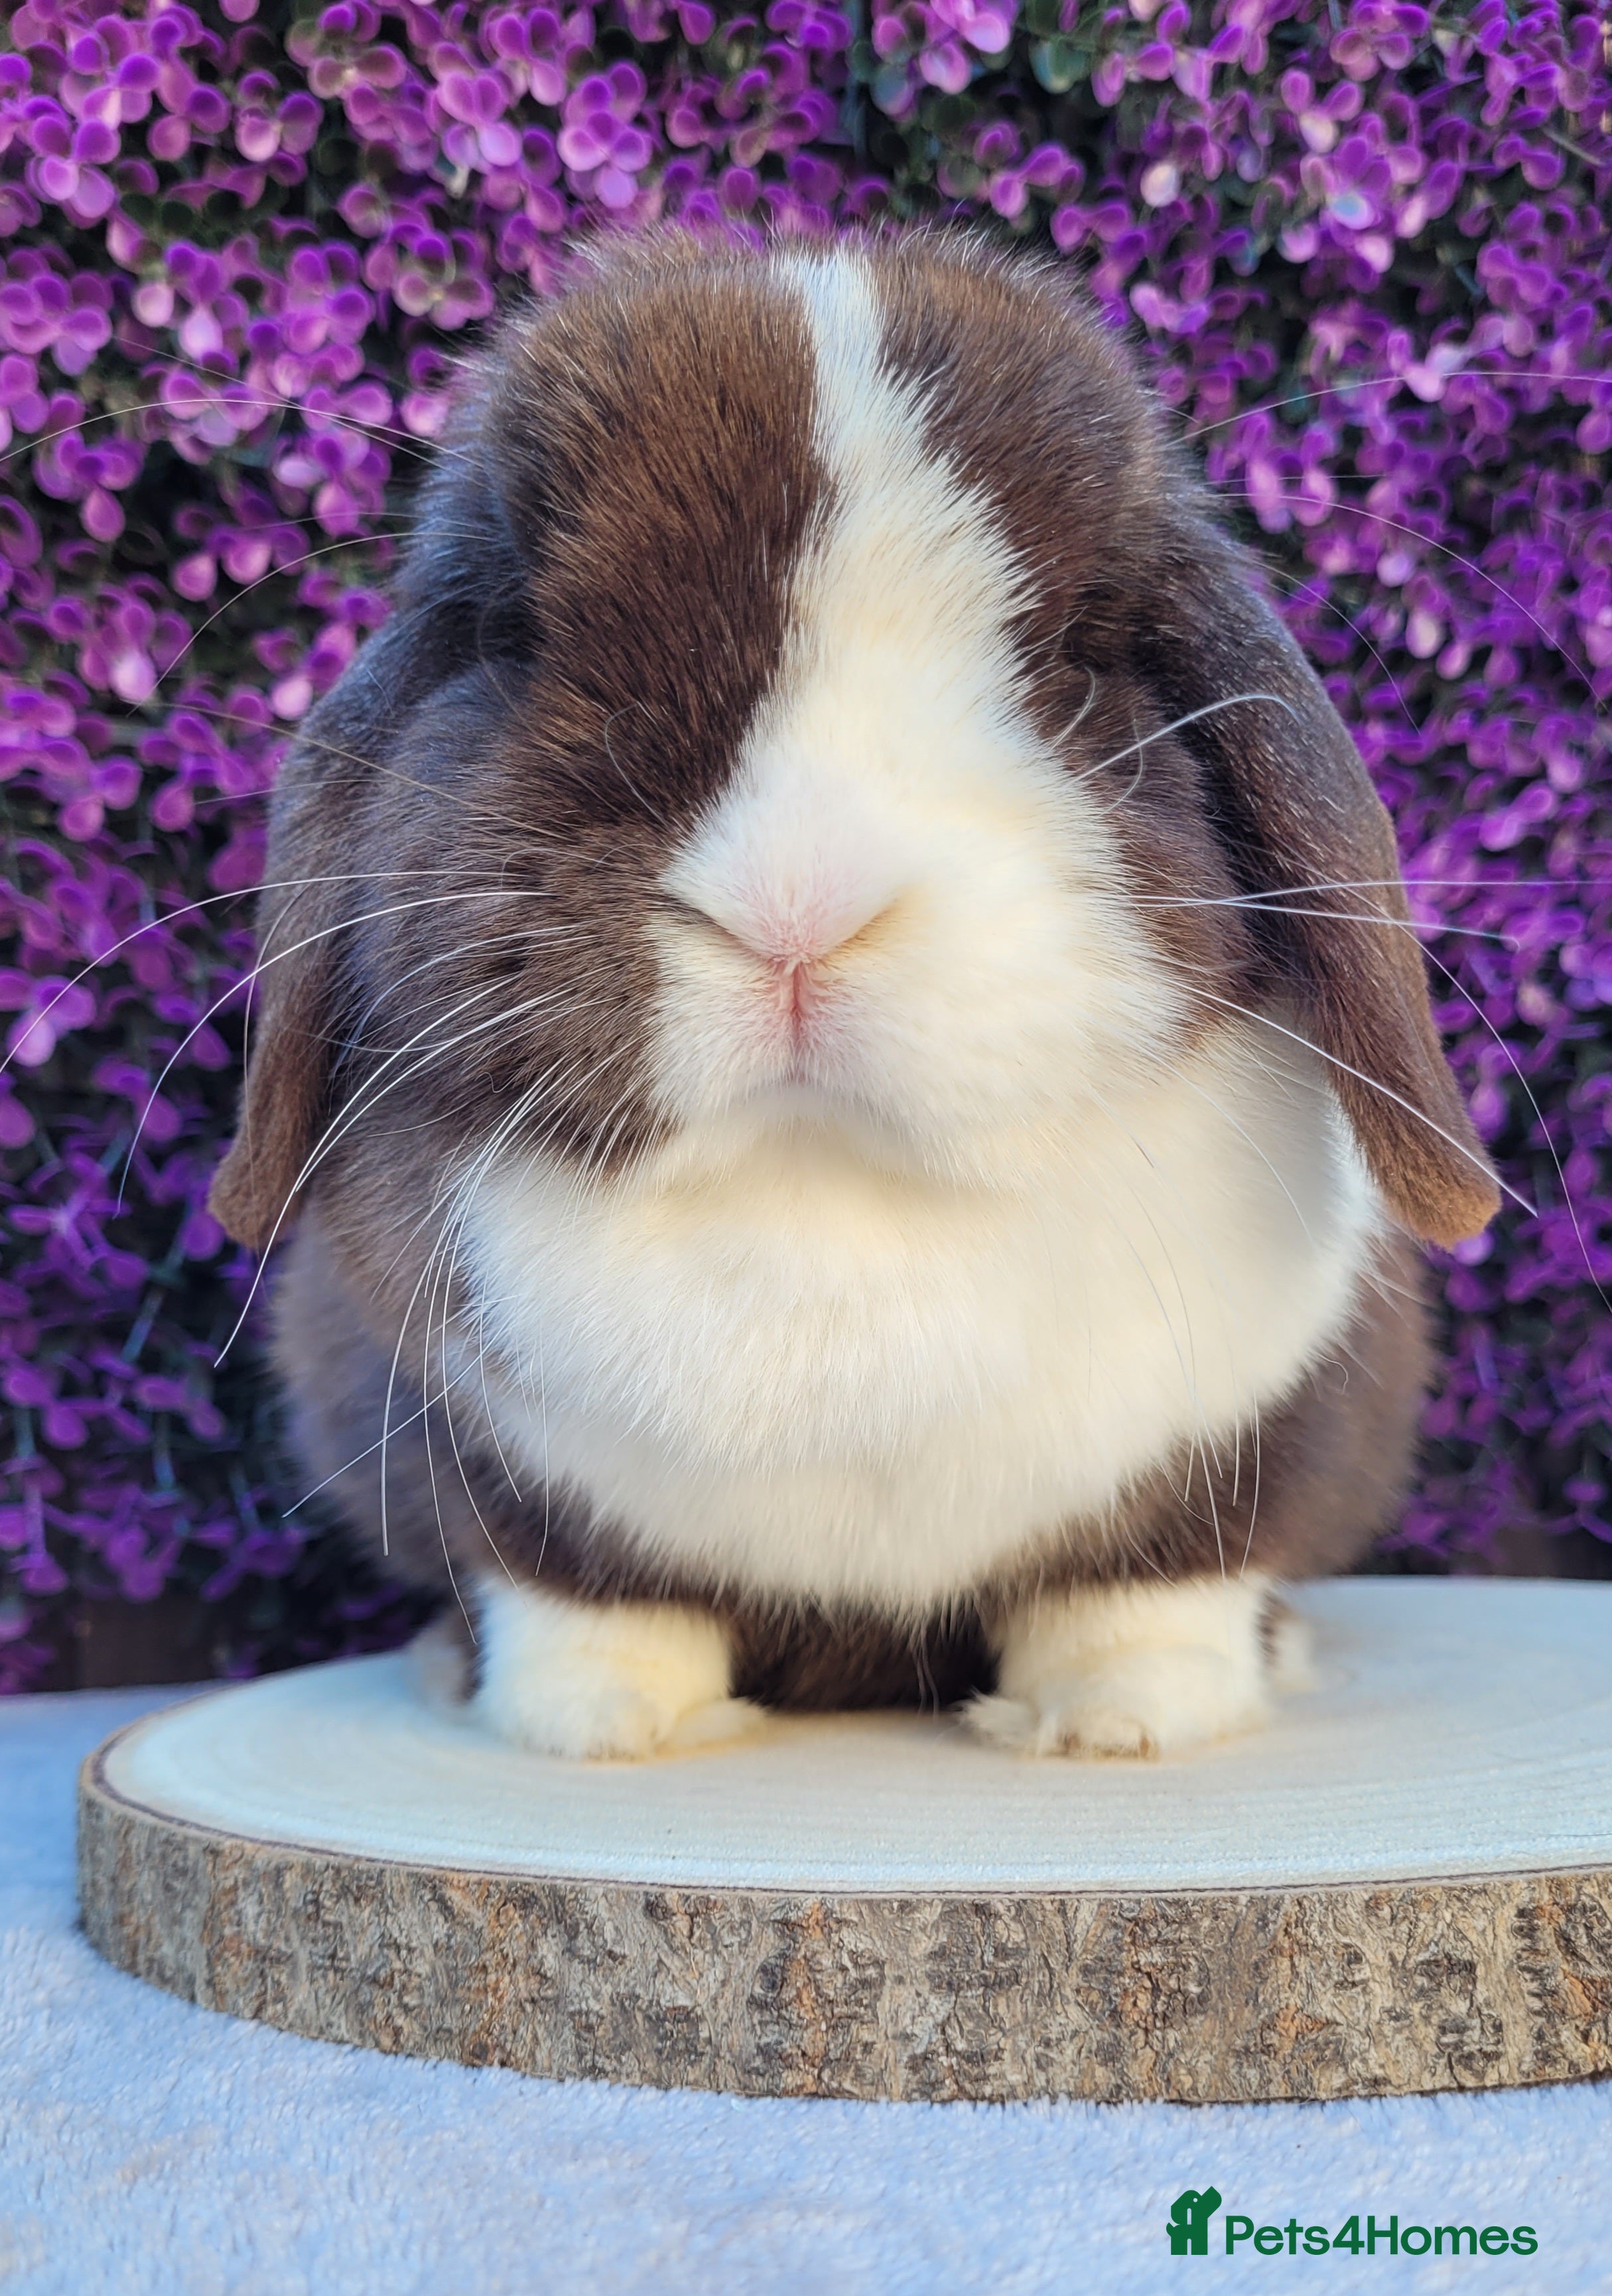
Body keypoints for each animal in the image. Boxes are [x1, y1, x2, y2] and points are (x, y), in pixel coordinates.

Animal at [209, 230, 1499, 1762]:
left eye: (1077, 657)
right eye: (515, 637)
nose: (798, 907)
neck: (828, 1191)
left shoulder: (1238, 1453)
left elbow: (1146, 1590)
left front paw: (1119, 1723)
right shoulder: (494, 1471)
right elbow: (579, 1596)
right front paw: (606, 1726)